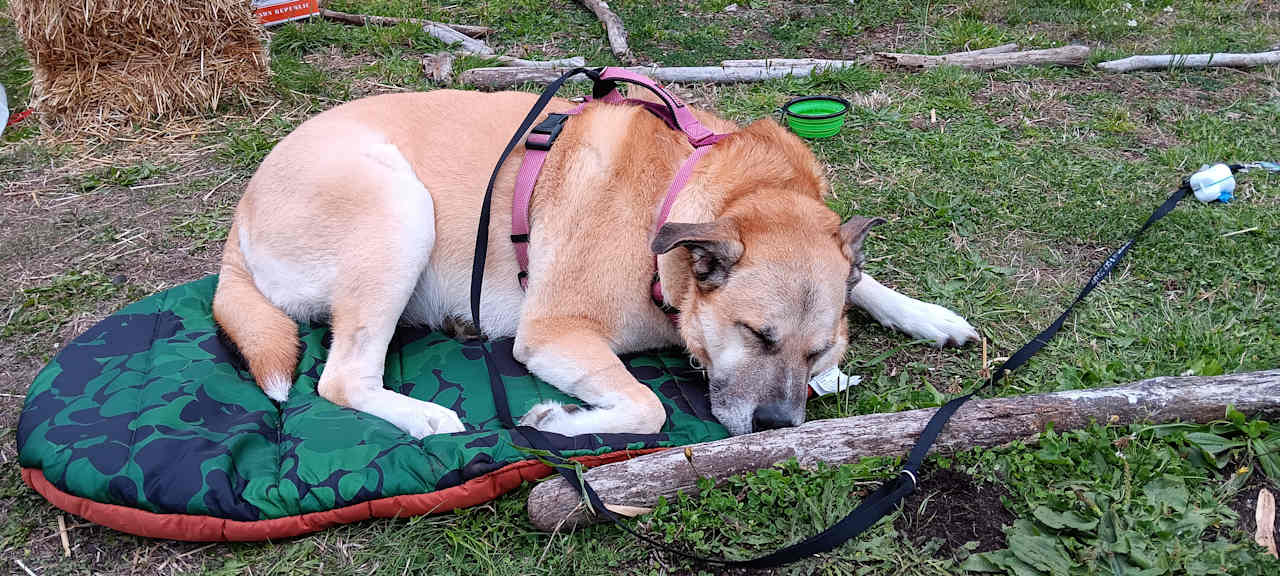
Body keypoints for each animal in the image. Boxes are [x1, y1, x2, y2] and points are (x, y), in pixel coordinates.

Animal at [212, 90, 977, 437]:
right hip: (401, 211)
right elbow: (648, 409)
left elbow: (863, 280)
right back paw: (426, 416)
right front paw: (557, 422)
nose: (775, 429)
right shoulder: (555, 334)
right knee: (342, 377)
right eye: (757, 335)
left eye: (817, 349)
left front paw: (926, 316)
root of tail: (239, 217)